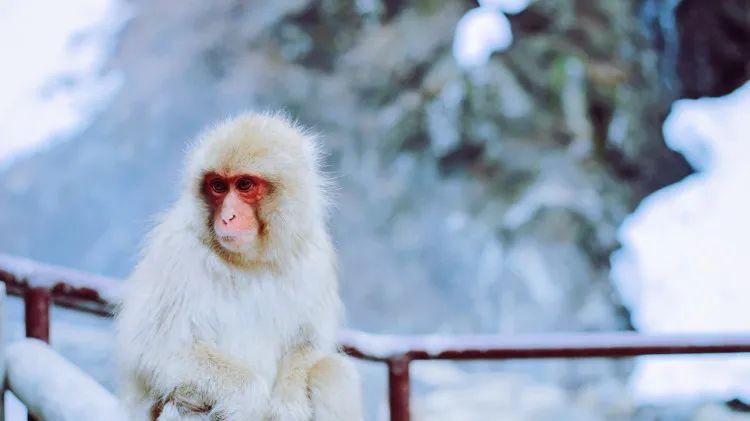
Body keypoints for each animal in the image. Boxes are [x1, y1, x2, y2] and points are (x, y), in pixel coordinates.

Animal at [114, 112, 364, 420]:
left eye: (244, 185)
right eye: (218, 186)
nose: (228, 217)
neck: (251, 261)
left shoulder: (315, 258)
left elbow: (308, 344)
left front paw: (289, 404)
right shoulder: (176, 253)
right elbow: (156, 350)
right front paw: (251, 399)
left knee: (332, 372)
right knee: (185, 402)